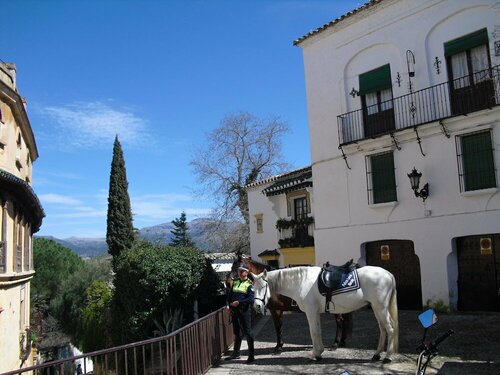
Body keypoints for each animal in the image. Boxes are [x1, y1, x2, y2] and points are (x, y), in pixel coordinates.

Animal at [252, 266, 400, 362]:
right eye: (253, 288)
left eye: (264, 287)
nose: (257, 306)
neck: (302, 282)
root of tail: (388, 274)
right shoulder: (315, 313)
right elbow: (318, 331)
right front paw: (319, 353)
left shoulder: (311, 312)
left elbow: (313, 332)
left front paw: (315, 354)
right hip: (376, 308)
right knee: (382, 329)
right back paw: (377, 355)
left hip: (381, 308)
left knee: (390, 328)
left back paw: (387, 357)